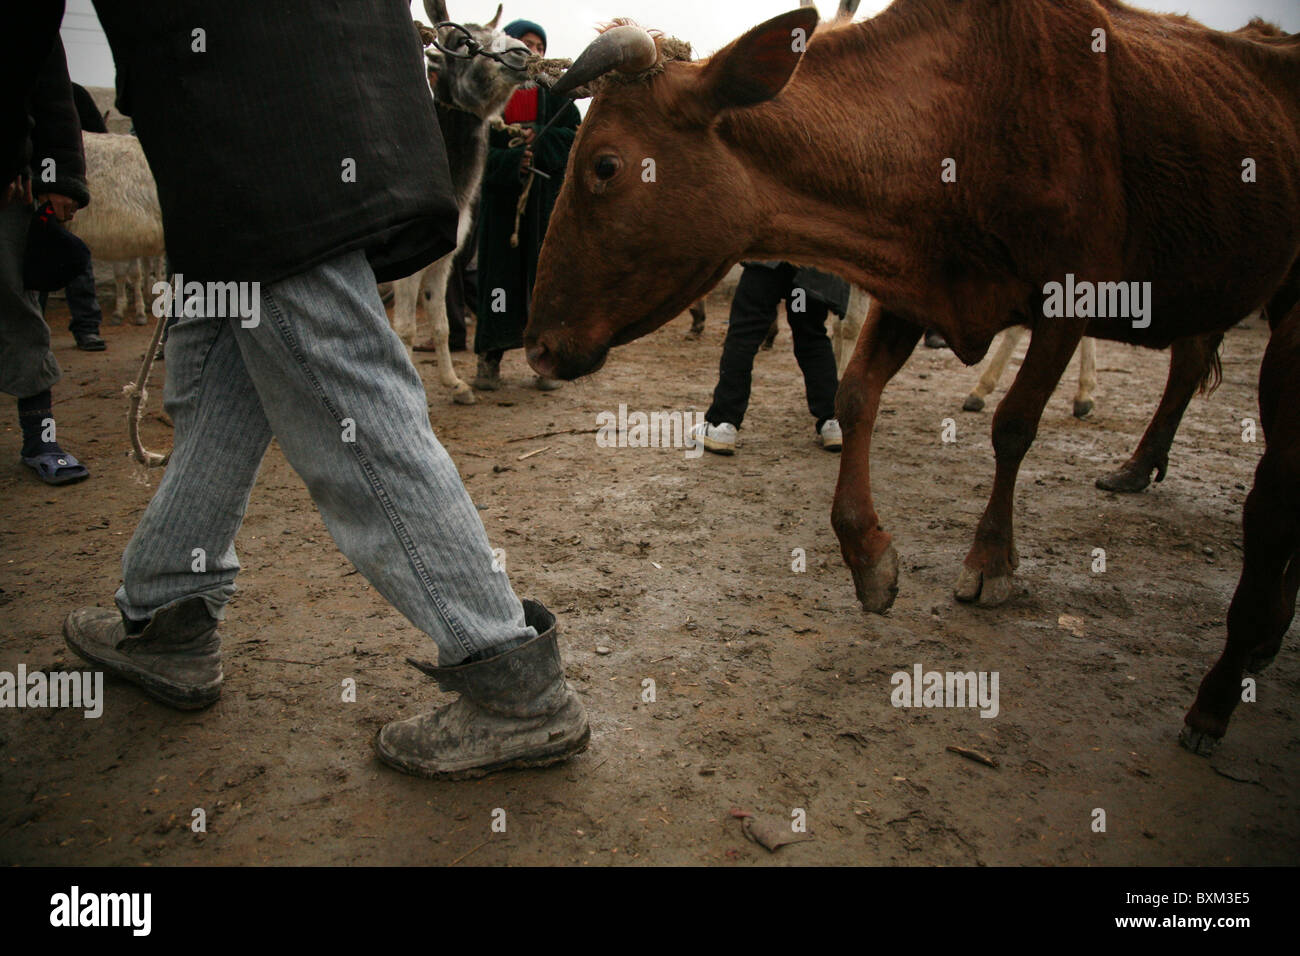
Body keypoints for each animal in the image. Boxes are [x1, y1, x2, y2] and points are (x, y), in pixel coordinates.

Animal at [522, 1, 1294, 613]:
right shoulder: (911, 283)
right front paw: (868, 555)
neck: (964, 119)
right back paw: (1139, 465)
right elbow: (855, 395)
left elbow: (1015, 425)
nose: (536, 346)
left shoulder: (1070, 298)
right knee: (1190, 359)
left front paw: (990, 559)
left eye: (604, 165)